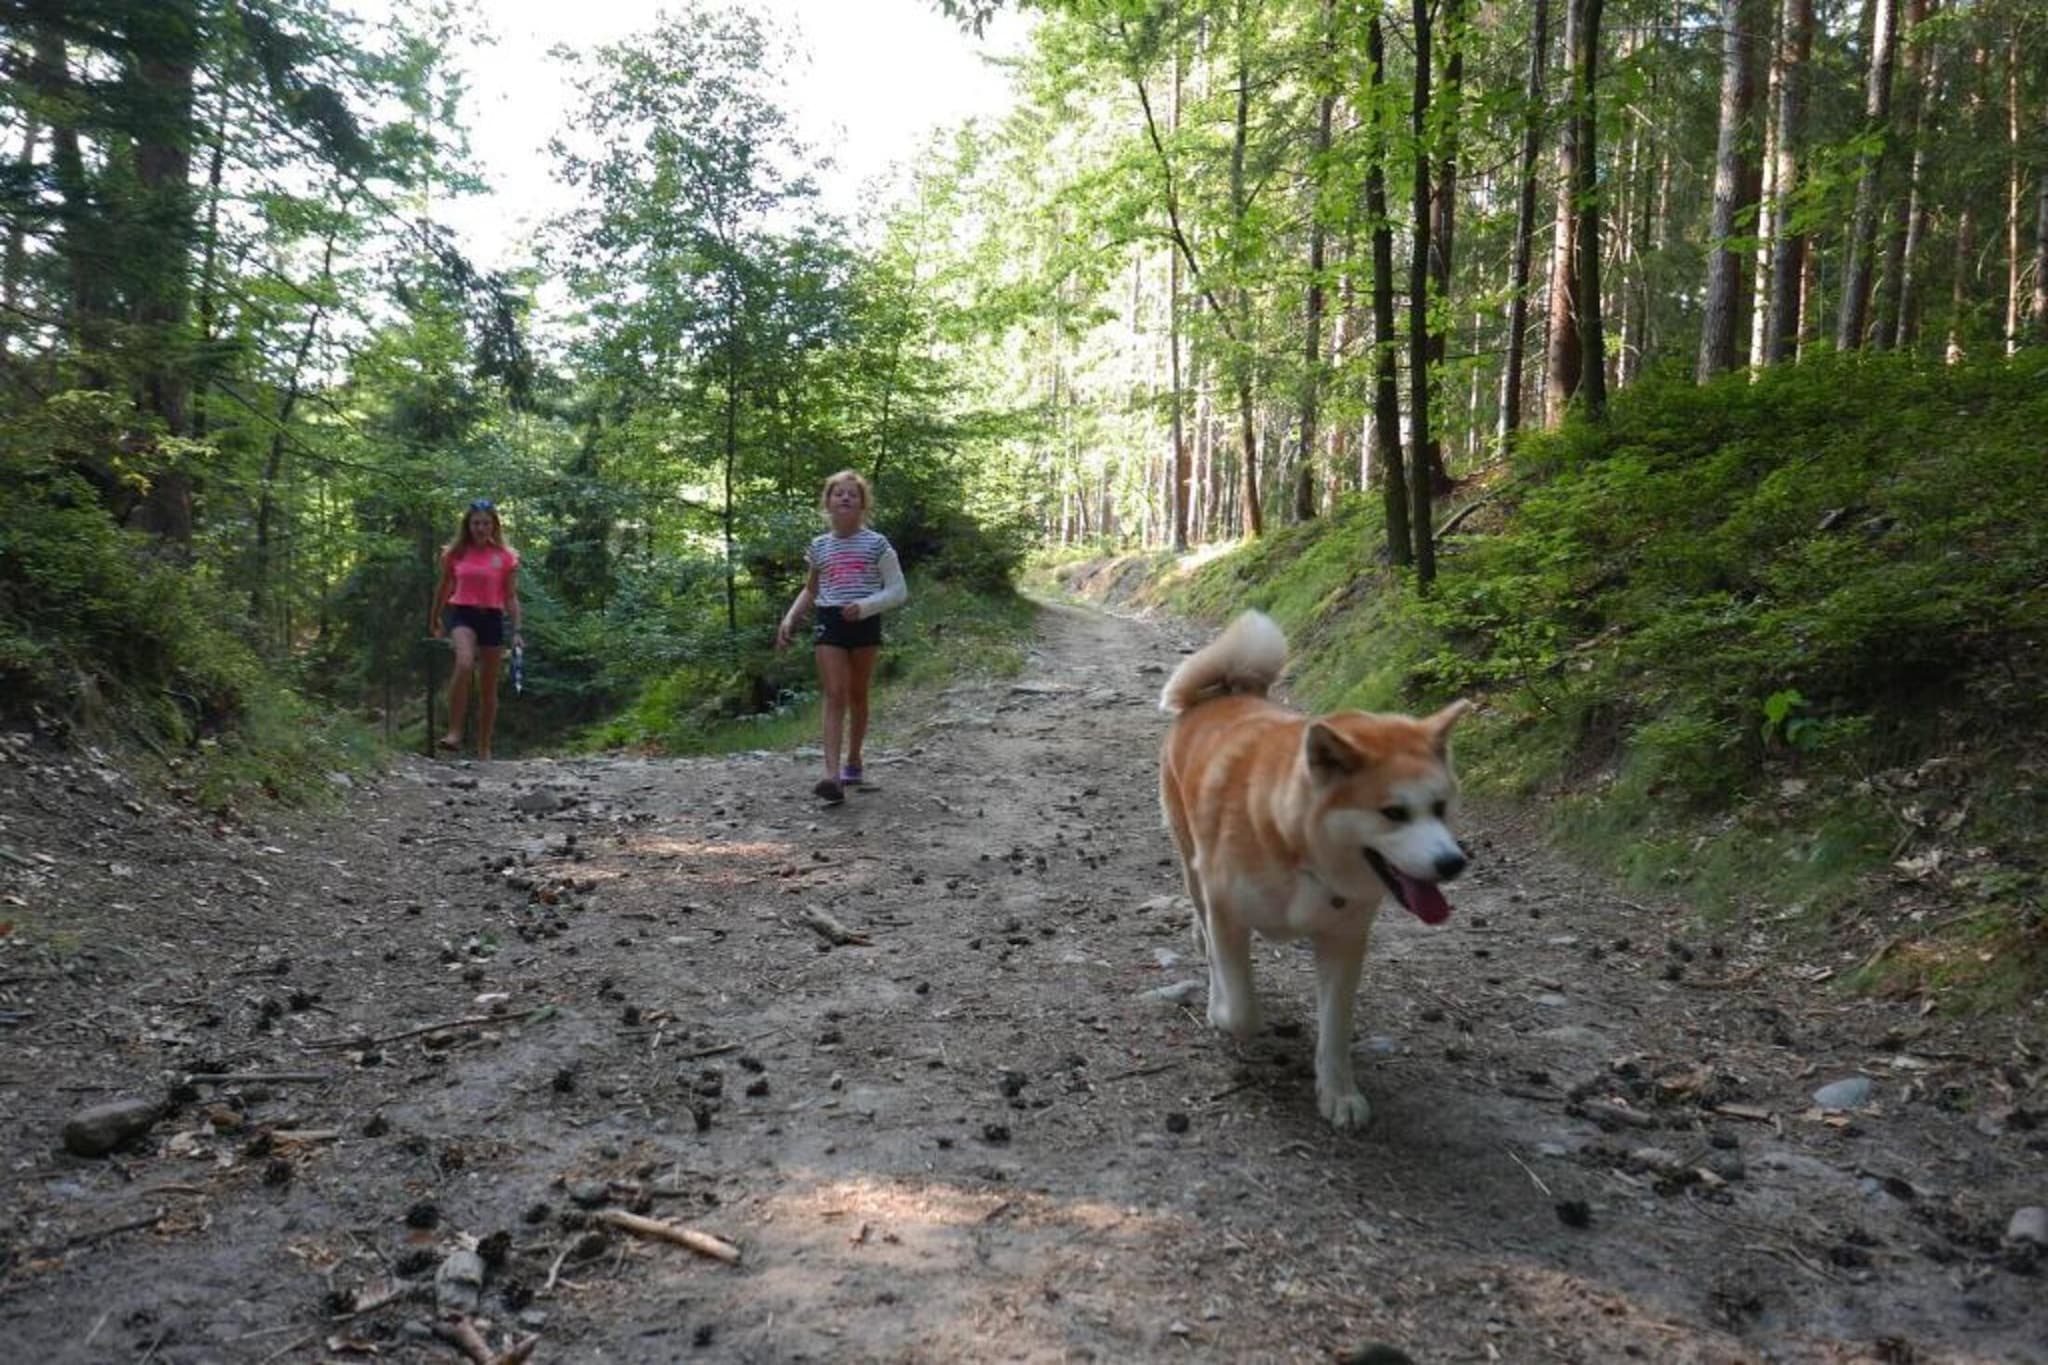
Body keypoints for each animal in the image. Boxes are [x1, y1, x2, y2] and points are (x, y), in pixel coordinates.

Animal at [1155, 613, 1474, 1129]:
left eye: (1440, 807)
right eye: (1393, 813)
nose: (1453, 863)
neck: (1296, 849)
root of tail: (1220, 693)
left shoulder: (1344, 940)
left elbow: (1336, 1028)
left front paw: (1338, 1092)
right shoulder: (1227, 915)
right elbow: (1242, 1009)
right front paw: (1221, 1010)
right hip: (1191, 861)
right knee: (1200, 914)